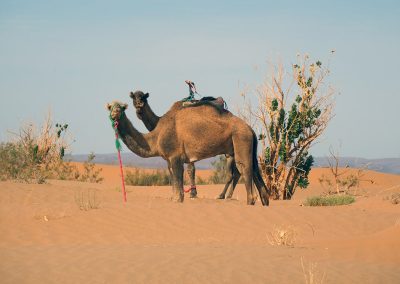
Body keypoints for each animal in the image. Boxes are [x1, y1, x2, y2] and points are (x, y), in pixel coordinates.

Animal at [106, 98, 270, 205]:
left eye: (121, 108)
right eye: (110, 107)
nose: (115, 113)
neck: (156, 136)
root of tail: (250, 129)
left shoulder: (175, 156)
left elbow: (178, 184)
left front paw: (179, 200)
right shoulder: (168, 160)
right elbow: (173, 181)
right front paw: (174, 199)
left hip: (241, 139)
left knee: (244, 169)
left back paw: (247, 201)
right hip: (247, 145)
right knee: (255, 171)